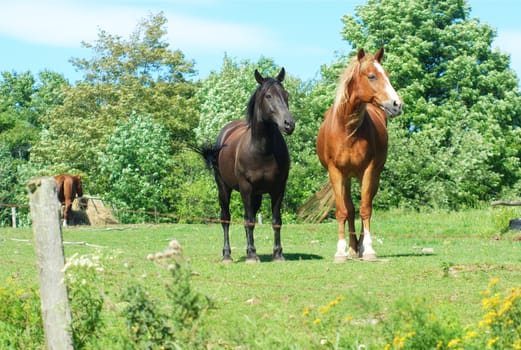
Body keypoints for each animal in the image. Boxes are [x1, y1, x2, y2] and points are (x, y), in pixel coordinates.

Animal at [197, 68, 294, 262]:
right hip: (224, 189)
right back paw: (227, 255)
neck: (262, 150)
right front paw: (252, 255)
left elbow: (275, 221)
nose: (289, 124)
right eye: (268, 96)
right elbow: (249, 221)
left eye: (286, 94)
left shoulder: (278, 188)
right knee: (226, 218)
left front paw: (277, 253)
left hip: (256, 195)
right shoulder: (246, 187)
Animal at [312, 48, 402, 262]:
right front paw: (341, 251)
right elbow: (343, 211)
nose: (397, 104)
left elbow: (365, 209)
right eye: (372, 76)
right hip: (346, 178)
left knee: (364, 205)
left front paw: (368, 249)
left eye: (387, 75)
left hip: (371, 176)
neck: (348, 130)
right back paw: (352, 248)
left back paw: (360, 247)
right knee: (351, 210)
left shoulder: (369, 170)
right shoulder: (336, 173)